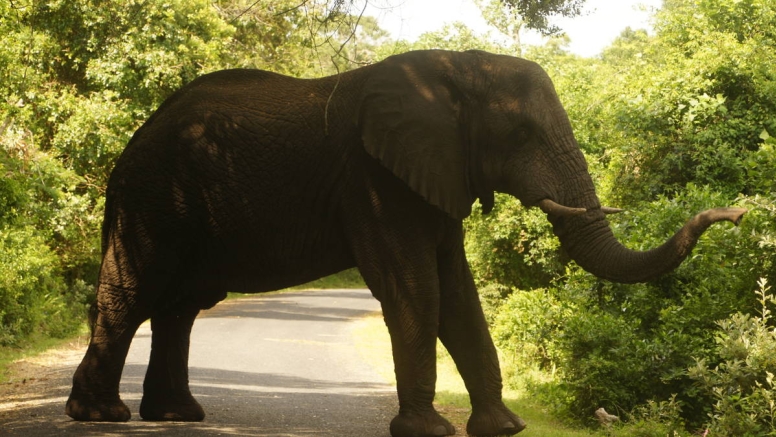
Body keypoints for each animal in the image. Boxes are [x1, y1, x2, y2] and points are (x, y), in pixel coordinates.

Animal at [63, 49, 744, 436]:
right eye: (521, 133)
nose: (735, 212)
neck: (453, 71)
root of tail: (130, 143)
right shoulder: (374, 180)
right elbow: (418, 287)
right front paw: (429, 431)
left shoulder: (436, 174)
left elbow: (460, 293)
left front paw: (504, 428)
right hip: (152, 199)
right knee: (131, 295)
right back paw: (103, 418)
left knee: (179, 307)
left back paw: (177, 417)